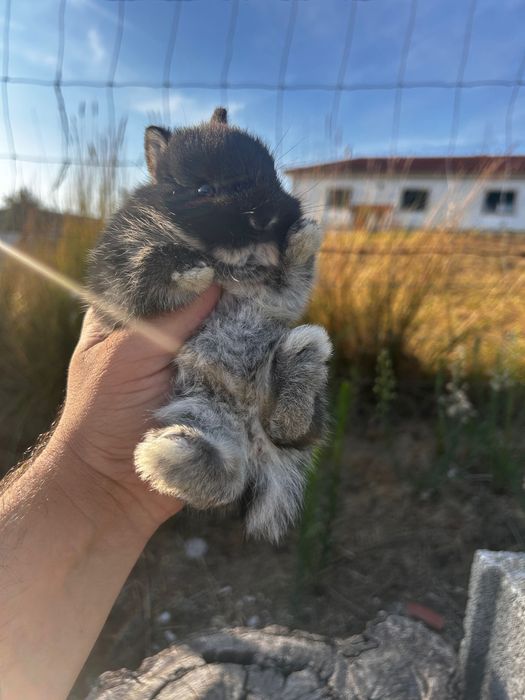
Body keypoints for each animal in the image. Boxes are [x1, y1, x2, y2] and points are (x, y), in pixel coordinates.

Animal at [87, 107, 332, 542]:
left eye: (274, 174)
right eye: (203, 189)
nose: (270, 216)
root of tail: (251, 436)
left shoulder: (276, 296)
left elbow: (292, 278)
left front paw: (305, 237)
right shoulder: (115, 286)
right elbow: (141, 273)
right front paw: (192, 270)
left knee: (292, 432)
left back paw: (301, 358)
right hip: (201, 408)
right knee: (227, 477)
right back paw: (165, 455)